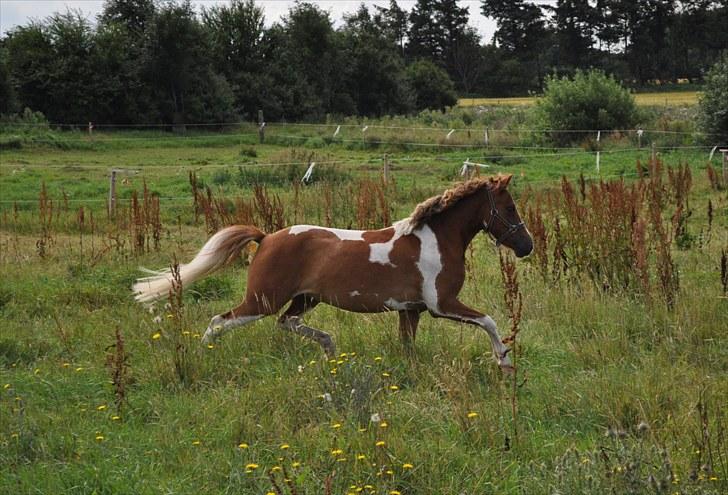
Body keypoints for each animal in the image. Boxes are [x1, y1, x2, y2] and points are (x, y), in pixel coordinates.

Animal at [134, 174, 536, 372]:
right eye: (509, 208)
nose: (527, 245)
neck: (435, 240)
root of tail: (266, 238)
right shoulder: (443, 304)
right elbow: (489, 321)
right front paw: (504, 362)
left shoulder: (411, 310)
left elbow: (407, 346)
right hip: (262, 299)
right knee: (220, 321)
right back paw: (202, 358)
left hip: (304, 299)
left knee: (287, 322)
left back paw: (329, 348)